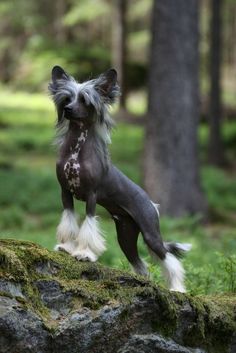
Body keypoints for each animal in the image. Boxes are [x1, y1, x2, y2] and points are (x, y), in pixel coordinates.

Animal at [48, 66, 191, 292]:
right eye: (67, 99)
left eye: (85, 100)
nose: (69, 109)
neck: (76, 150)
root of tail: (151, 203)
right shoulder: (65, 193)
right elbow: (69, 221)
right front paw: (66, 247)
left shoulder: (91, 195)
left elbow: (88, 224)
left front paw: (85, 254)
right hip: (126, 235)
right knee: (141, 266)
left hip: (150, 233)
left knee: (169, 260)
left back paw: (177, 288)